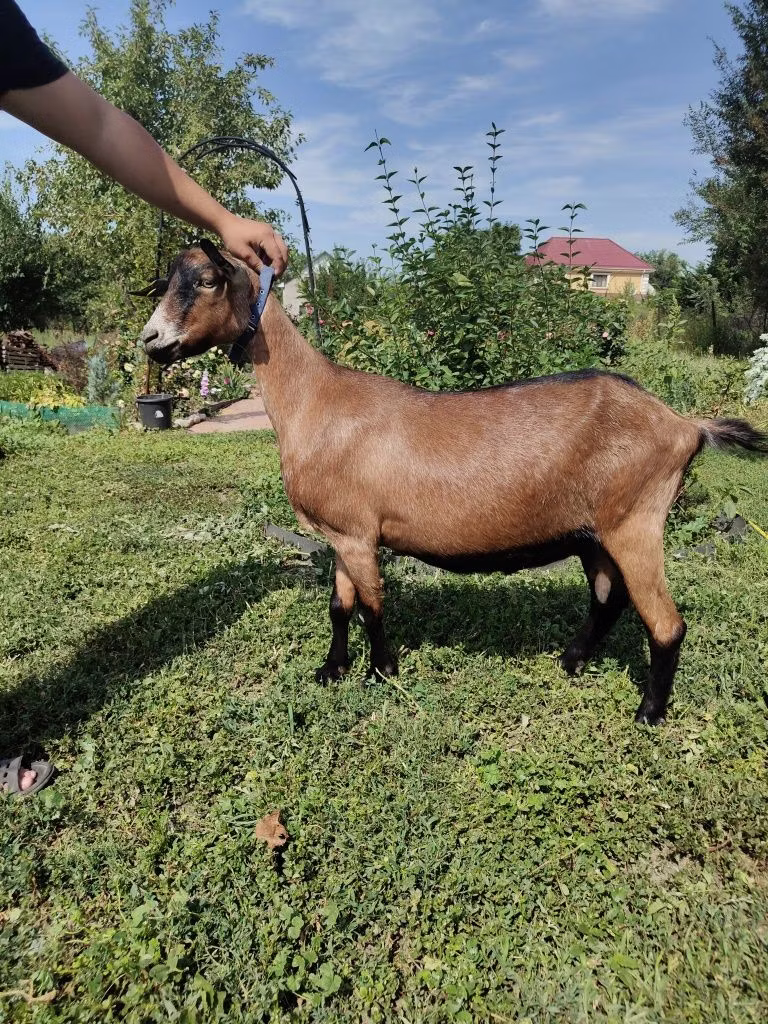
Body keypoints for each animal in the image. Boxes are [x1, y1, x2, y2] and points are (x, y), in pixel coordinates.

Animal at [139, 241, 767, 725]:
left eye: (207, 281)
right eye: (165, 283)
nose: (150, 340)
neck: (314, 401)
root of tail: (685, 425)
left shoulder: (359, 535)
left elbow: (371, 605)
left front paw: (381, 671)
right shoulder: (340, 533)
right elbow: (340, 605)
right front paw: (332, 669)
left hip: (636, 520)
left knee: (666, 622)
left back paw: (649, 712)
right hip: (595, 530)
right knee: (608, 598)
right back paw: (573, 660)